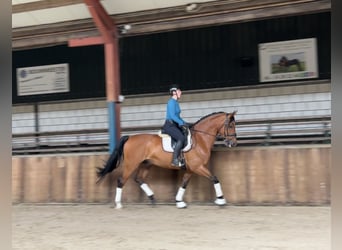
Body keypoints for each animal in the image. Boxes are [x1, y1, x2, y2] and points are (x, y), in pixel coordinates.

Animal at [95, 111, 236, 209]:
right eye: (230, 125)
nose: (233, 143)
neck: (200, 139)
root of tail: (129, 137)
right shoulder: (198, 167)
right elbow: (215, 178)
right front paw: (221, 200)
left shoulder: (191, 169)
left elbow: (184, 183)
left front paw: (179, 202)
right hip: (131, 164)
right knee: (121, 181)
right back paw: (118, 204)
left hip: (146, 164)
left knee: (139, 179)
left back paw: (153, 199)